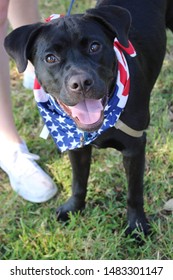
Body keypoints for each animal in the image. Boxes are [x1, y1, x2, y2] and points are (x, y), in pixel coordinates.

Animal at [3, 0, 173, 237]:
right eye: (50, 58)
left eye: (94, 47)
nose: (81, 83)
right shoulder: (77, 146)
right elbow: (78, 183)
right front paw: (74, 209)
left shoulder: (135, 147)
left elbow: (134, 193)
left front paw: (136, 227)